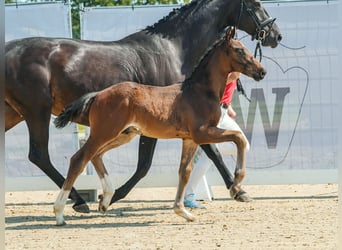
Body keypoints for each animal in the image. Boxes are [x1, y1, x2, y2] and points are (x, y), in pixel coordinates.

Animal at [54, 27, 268, 225]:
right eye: (239, 50)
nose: (262, 71)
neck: (200, 91)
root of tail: (98, 94)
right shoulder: (202, 133)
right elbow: (239, 138)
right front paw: (236, 186)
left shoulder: (189, 139)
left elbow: (185, 171)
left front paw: (182, 211)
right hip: (104, 132)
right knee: (79, 159)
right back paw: (60, 214)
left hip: (124, 134)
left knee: (96, 155)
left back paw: (105, 200)